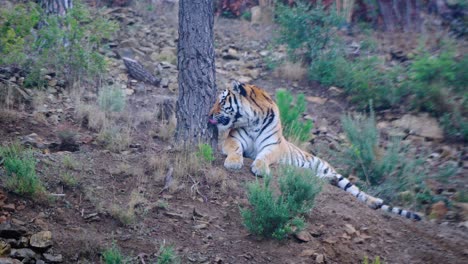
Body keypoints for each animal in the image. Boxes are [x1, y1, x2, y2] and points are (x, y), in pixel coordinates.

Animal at [208, 80, 420, 221]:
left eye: (222, 101)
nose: (209, 114)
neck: (253, 121)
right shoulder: (233, 139)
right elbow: (236, 149)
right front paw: (234, 162)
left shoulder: (274, 146)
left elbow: (264, 157)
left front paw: (259, 168)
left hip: (334, 172)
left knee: (357, 191)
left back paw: (373, 201)